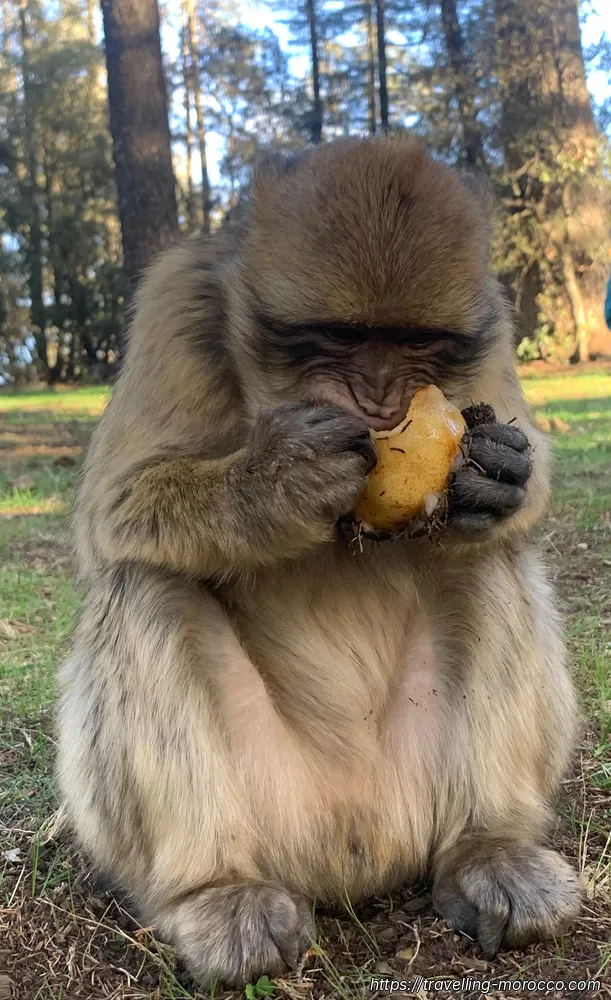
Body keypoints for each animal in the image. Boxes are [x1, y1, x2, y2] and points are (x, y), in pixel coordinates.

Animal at [57, 136, 580, 987]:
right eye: (340, 338)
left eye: (414, 344)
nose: (375, 397)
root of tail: (352, 842)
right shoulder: (176, 300)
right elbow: (115, 510)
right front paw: (280, 479)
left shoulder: (492, 322)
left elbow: (511, 504)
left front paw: (499, 472)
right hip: (274, 805)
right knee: (142, 583)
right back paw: (215, 889)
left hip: (412, 791)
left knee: (487, 559)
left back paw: (487, 848)